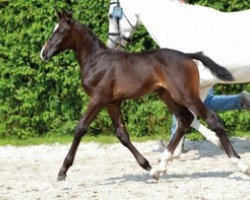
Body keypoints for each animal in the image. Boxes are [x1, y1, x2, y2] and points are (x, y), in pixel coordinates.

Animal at [40, 9, 249, 181]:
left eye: (60, 32)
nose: (43, 53)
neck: (96, 61)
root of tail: (188, 55)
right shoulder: (112, 103)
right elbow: (122, 135)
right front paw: (147, 166)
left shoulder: (98, 99)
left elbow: (80, 129)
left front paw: (62, 171)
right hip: (167, 95)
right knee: (185, 119)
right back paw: (160, 168)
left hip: (185, 94)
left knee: (212, 119)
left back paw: (241, 165)